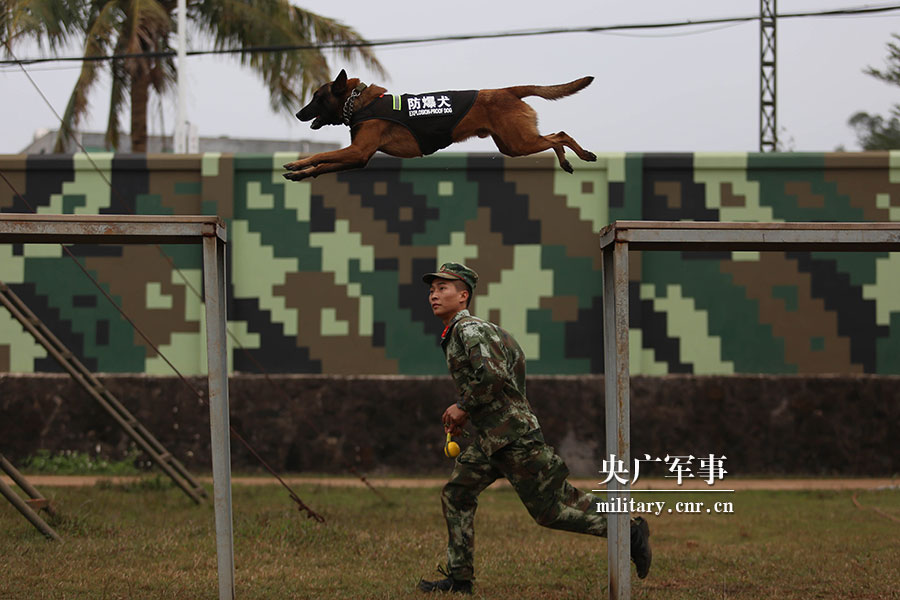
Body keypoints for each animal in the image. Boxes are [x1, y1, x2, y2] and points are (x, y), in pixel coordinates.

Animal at [284, 68, 596, 180]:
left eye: (316, 98)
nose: (298, 114)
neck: (358, 101)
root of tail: (508, 90)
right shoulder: (358, 157)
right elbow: (324, 164)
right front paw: (302, 173)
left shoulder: (357, 152)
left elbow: (322, 154)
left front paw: (297, 163)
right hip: (512, 145)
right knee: (554, 137)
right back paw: (566, 161)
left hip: (519, 142)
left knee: (560, 135)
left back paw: (582, 155)